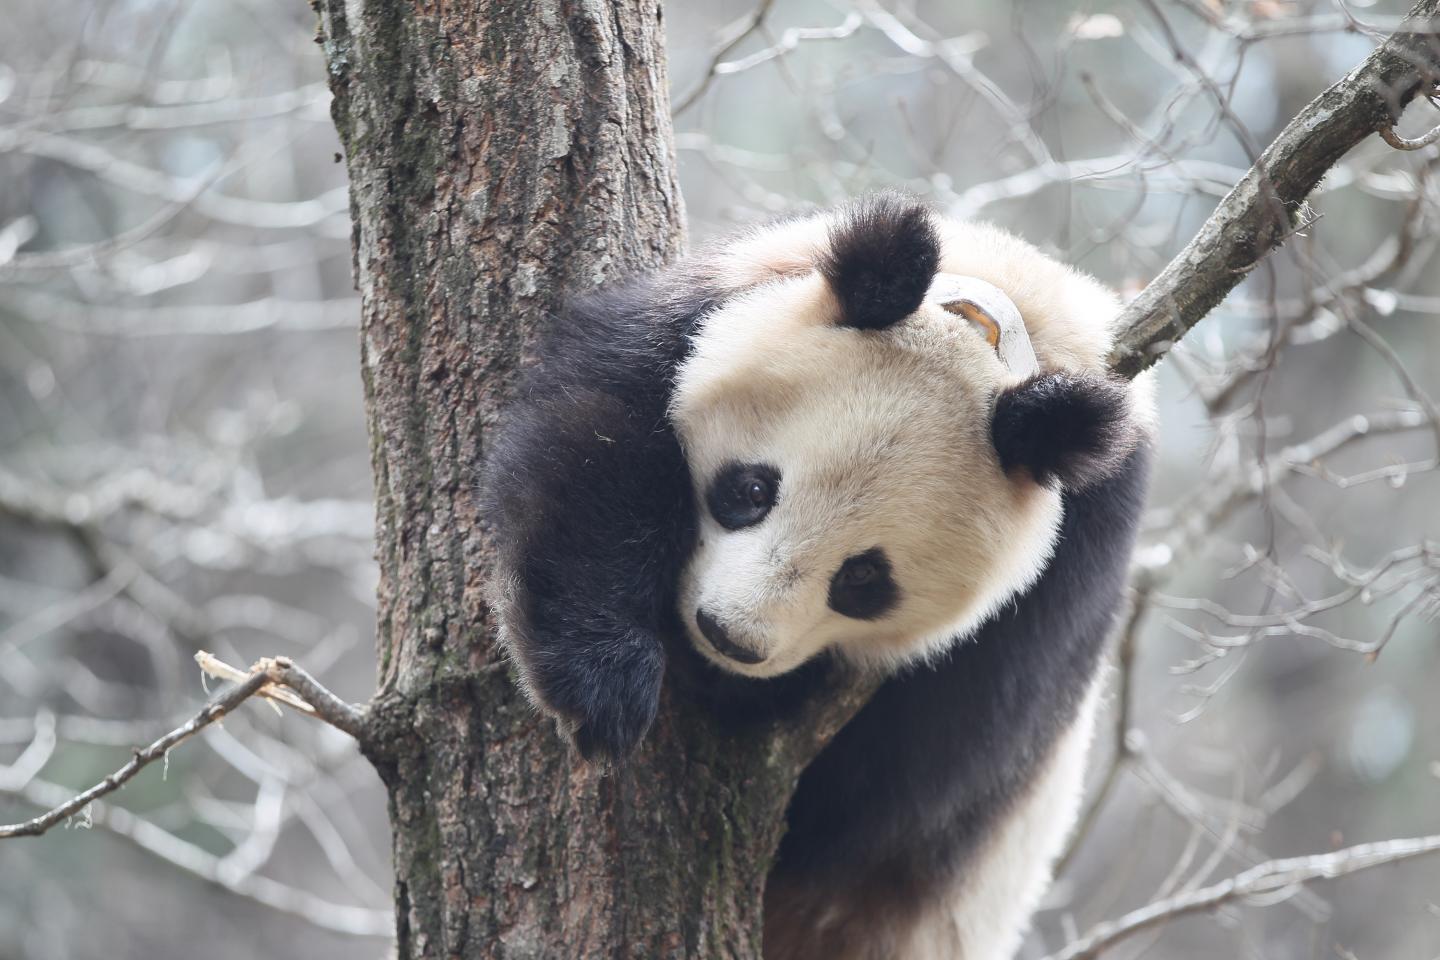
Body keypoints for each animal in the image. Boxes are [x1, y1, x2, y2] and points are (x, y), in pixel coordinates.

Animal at [483, 195, 1154, 960]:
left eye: (864, 580)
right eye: (750, 489)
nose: (727, 637)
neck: (1011, 317)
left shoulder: (1060, 593)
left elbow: (882, 794)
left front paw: (723, 688)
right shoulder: (713, 303)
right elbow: (596, 441)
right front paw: (604, 685)